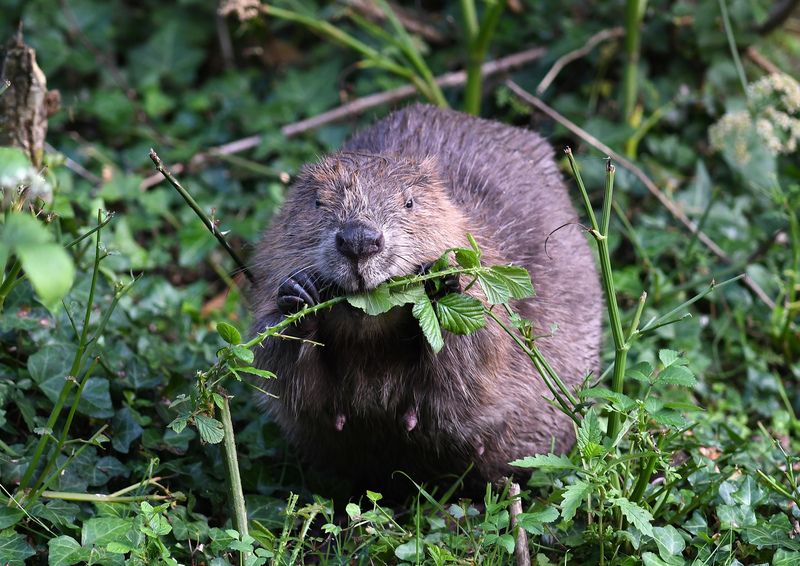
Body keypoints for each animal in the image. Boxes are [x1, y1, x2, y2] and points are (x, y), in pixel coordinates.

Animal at [250, 104, 601, 489]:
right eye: (317, 201)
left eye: (409, 202)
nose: (359, 240)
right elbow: (289, 383)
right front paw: (298, 296)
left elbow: (475, 364)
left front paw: (440, 283)